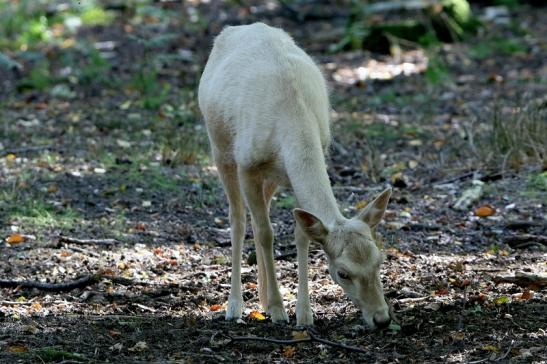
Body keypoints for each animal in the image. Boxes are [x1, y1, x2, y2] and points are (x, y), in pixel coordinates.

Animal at [199, 22, 392, 330]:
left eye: (379, 260)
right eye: (342, 273)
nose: (382, 319)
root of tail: (237, 28)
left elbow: (301, 233)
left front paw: (304, 314)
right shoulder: (247, 164)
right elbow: (265, 233)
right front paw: (279, 310)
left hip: (272, 178)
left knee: (260, 212)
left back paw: (263, 298)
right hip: (220, 146)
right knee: (239, 219)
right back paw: (236, 305)